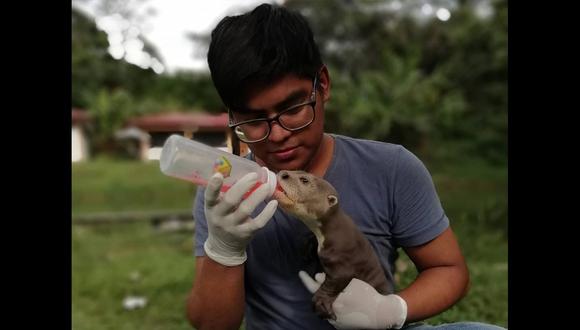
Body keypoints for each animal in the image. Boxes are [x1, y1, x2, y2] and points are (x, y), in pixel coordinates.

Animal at [274, 171, 392, 320]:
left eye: (304, 180)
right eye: (299, 172)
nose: (283, 173)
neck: (334, 232)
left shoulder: (341, 258)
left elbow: (334, 283)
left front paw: (321, 301)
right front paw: (307, 247)